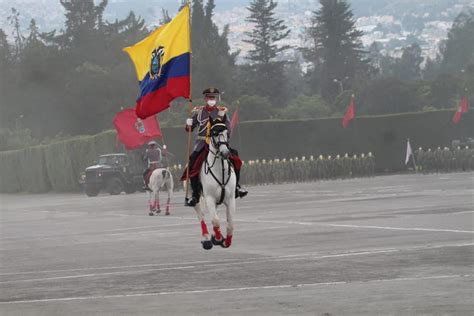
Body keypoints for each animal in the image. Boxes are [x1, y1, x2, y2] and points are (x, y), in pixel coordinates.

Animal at [193, 118, 237, 249]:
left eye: (227, 133)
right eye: (214, 133)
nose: (225, 153)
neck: (219, 170)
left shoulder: (231, 198)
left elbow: (230, 224)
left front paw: (226, 242)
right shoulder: (209, 198)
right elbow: (215, 220)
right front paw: (217, 238)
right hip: (197, 197)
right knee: (201, 215)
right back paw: (207, 239)